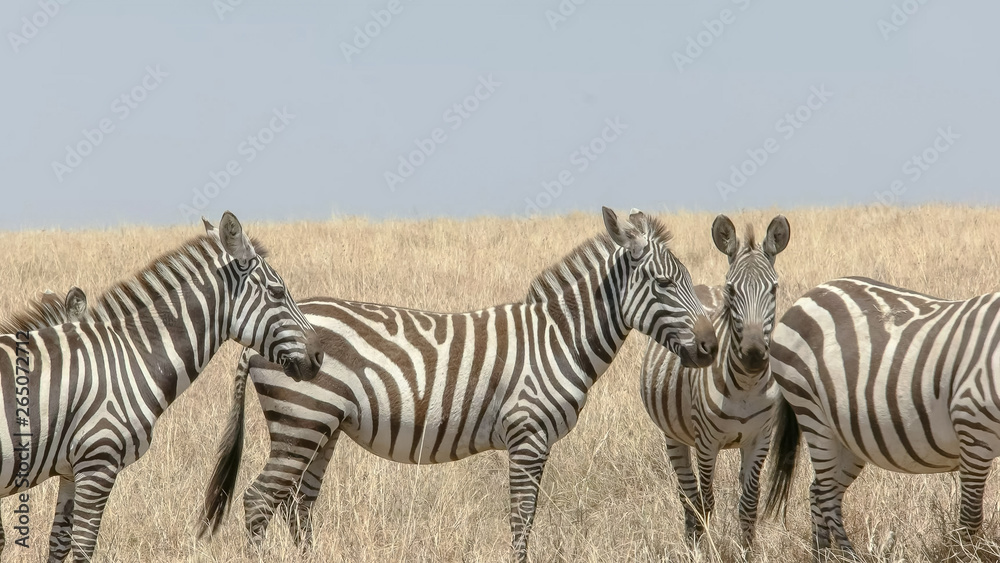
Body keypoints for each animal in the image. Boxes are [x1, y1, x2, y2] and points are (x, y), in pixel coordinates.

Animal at [0, 212, 323, 562]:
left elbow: (58, 544)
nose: (319, 356)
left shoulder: (72, 468)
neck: (128, 358)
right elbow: (83, 546)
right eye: (277, 292)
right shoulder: (98, 460)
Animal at [199, 207, 719, 561]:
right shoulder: (528, 436)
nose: (711, 347)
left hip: (321, 428)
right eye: (664, 284)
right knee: (259, 501)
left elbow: (523, 516)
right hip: (302, 422)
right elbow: (521, 517)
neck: (558, 337)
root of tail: (254, 344)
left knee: (298, 506)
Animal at [640, 214, 789, 550]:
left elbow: (749, 504)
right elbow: (706, 501)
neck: (747, 385)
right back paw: (691, 543)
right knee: (688, 495)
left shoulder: (760, 439)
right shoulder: (706, 443)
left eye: (774, 290)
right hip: (674, 435)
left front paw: (747, 552)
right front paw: (708, 549)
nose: (753, 356)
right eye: (732, 290)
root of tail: (701, 286)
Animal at [764, 276, 1000, 560]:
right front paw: (963, 556)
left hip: (847, 433)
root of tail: (811, 294)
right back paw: (850, 556)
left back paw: (822, 555)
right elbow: (969, 519)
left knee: (818, 489)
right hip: (810, 410)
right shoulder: (973, 426)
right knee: (825, 493)